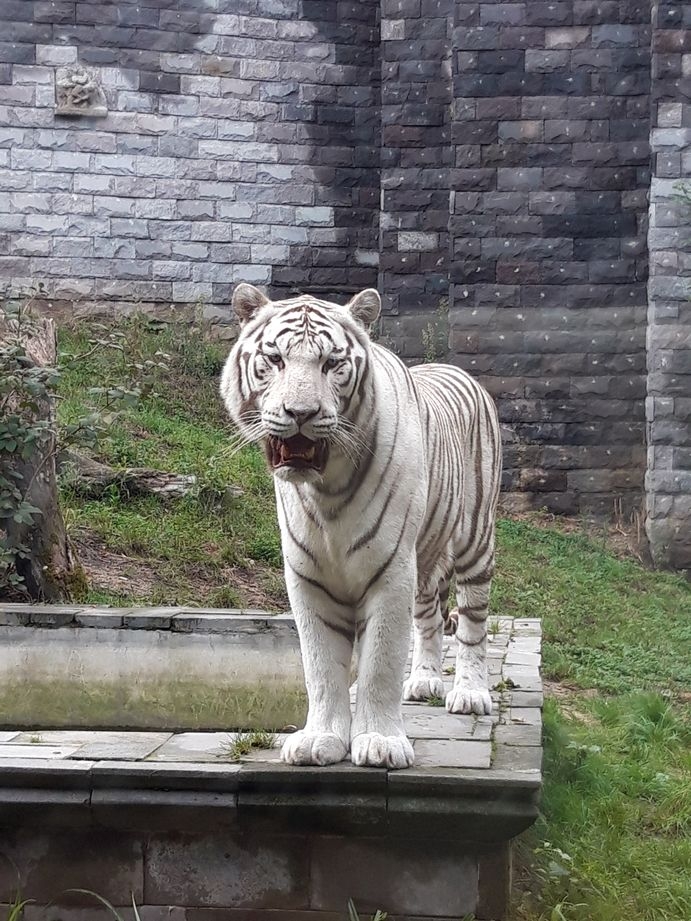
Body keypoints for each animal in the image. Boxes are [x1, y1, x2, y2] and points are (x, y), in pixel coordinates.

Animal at [220, 283, 502, 770]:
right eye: (275, 359)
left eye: (331, 364)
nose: (300, 412)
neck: (325, 491)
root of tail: (454, 367)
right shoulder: (308, 577)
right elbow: (321, 668)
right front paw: (320, 739)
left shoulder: (391, 572)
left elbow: (379, 665)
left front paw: (380, 742)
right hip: (426, 559)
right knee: (430, 618)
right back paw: (424, 681)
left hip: (475, 543)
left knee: (472, 624)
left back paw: (469, 694)